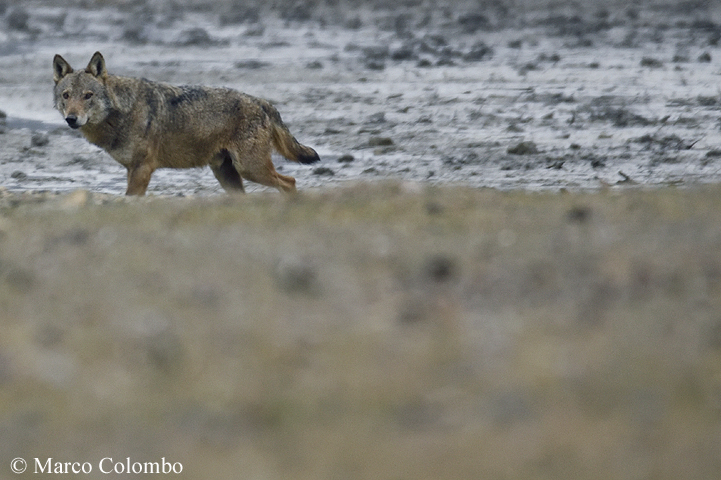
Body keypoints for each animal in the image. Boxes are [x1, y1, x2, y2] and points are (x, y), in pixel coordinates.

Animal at [53, 52, 318, 195]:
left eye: (88, 95)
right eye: (66, 95)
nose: (71, 119)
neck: (121, 112)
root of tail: (262, 102)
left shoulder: (143, 169)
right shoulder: (131, 169)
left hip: (251, 169)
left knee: (290, 182)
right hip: (229, 175)